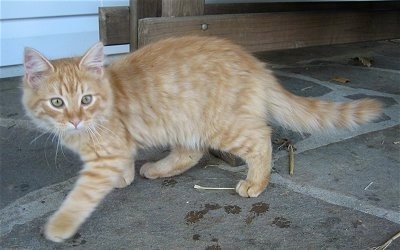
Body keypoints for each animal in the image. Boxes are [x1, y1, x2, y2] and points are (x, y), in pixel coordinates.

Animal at [22, 35, 382, 242]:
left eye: (86, 99)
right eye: (57, 102)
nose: (75, 120)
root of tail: (255, 63)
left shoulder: (105, 155)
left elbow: (80, 197)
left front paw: (59, 227)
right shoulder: (117, 148)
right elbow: (122, 165)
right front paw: (123, 178)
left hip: (219, 125)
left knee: (260, 137)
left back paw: (256, 182)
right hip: (183, 122)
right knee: (190, 154)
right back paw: (156, 169)